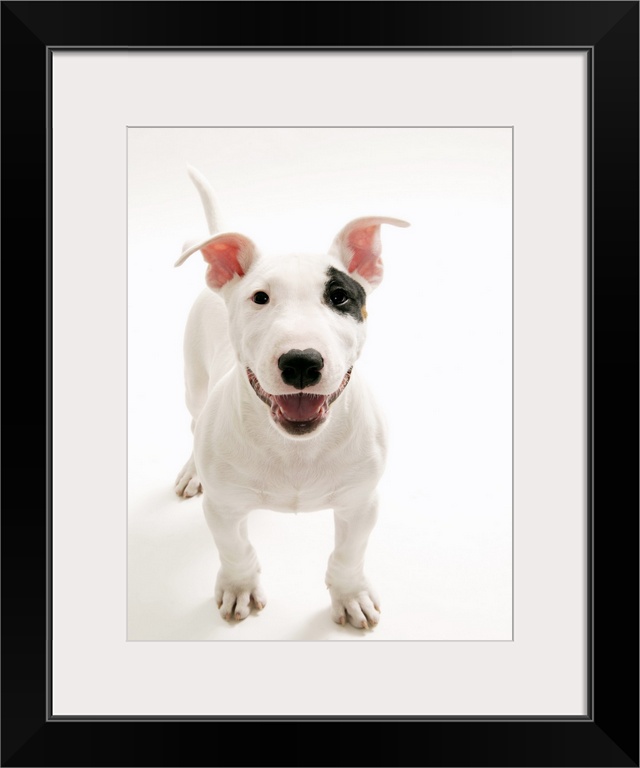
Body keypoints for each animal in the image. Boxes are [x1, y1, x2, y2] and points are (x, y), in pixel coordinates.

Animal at [174, 166, 409, 628]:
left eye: (340, 296)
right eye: (260, 297)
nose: (301, 362)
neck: (296, 448)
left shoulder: (361, 503)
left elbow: (349, 554)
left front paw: (351, 595)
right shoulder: (223, 507)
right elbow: (235, 549)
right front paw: (239, 588)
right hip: (194, 380)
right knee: (193, 420)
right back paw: (192, 470)